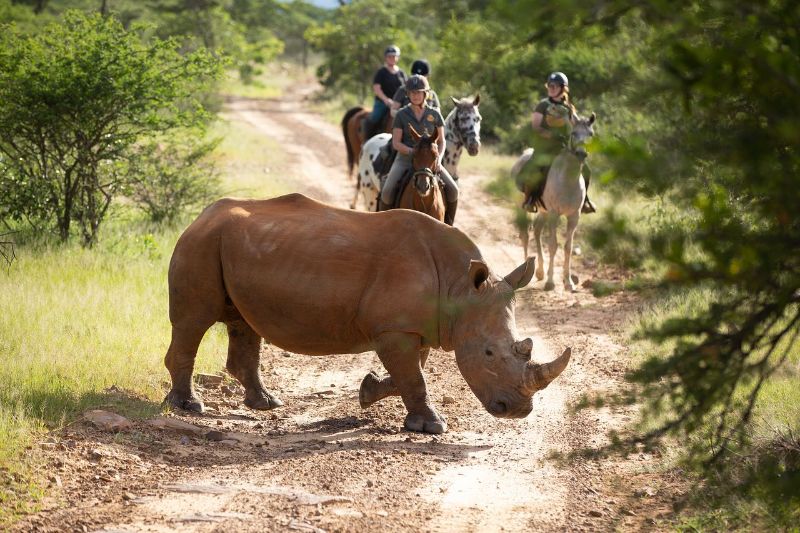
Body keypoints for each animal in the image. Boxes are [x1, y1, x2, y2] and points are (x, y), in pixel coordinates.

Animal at [166, 192, 572, 432]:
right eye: (489, 353)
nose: (518, 411)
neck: (461, 288)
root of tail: (201, 215)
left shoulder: (416, 327)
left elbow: (411, 373)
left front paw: (368, 391)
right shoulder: (396, 329)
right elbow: (415, 377)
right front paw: (432, 426)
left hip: (229, 244)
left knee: (244, 323)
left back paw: (264, 403)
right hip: (201, 243)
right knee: (194, 321)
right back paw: (190, 407)